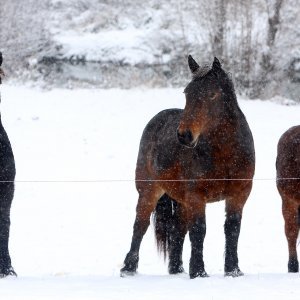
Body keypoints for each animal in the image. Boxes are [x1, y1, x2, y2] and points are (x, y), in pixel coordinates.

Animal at [120, 55, 255, 278]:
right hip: (149, 190)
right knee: (140, 224)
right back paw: (128, 268)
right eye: (186, 93)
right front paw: (199, 272)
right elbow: (199, 231)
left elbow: (232, 229)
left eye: (212, 94)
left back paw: (176, 269)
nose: (184, 135)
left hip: (182, 201)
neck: (225, 154)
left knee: (178, 229)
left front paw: (233, 270)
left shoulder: (239, 194)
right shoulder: (196, 197)